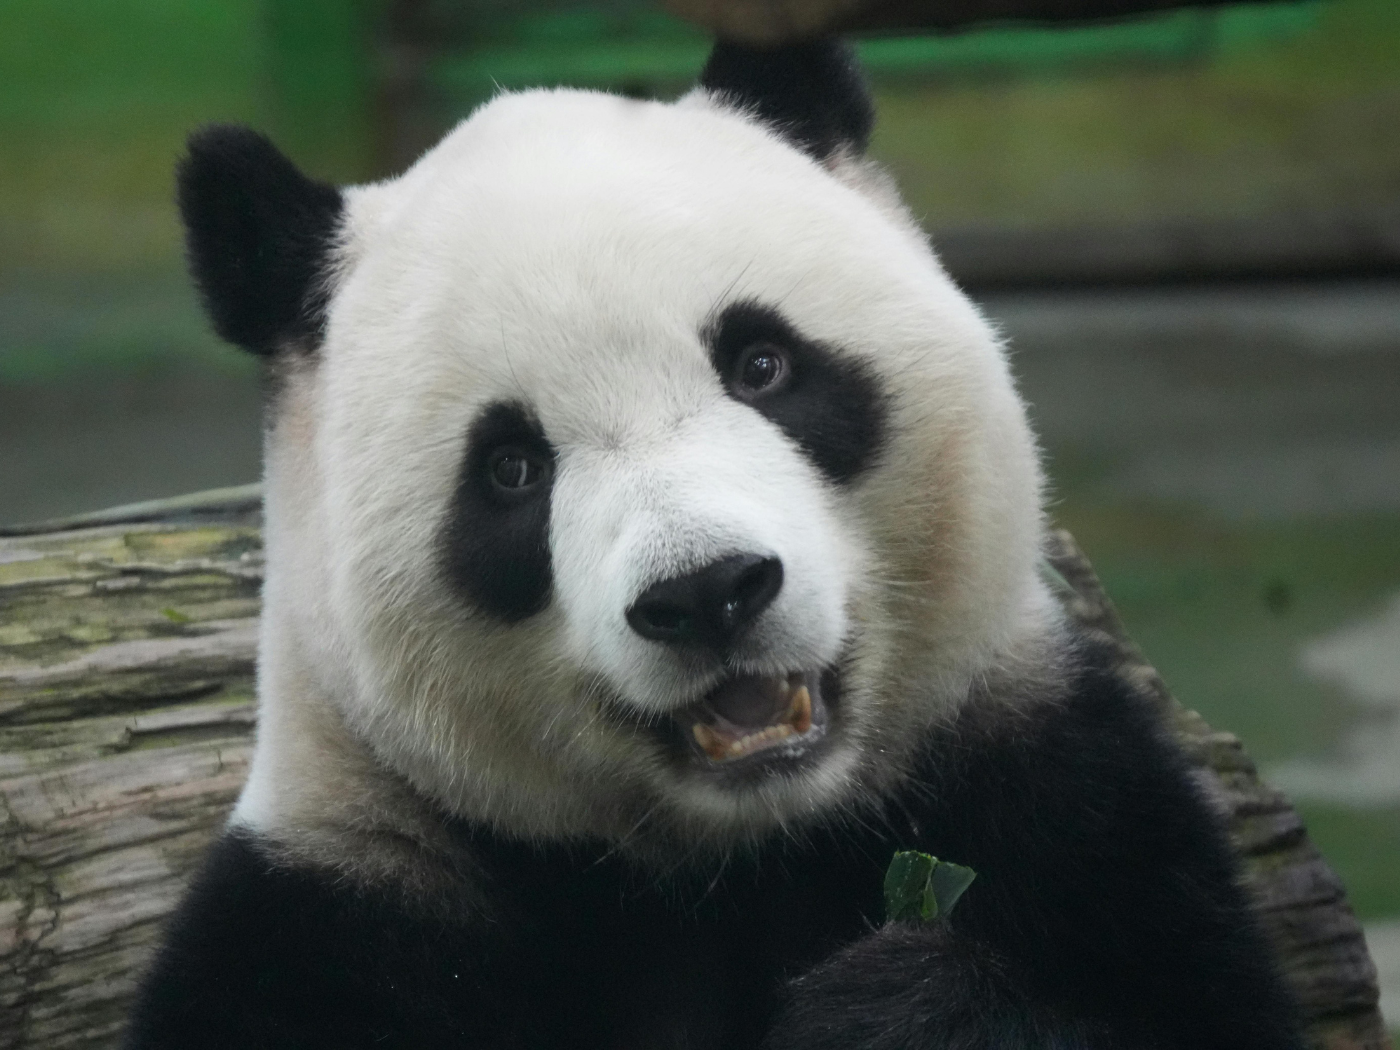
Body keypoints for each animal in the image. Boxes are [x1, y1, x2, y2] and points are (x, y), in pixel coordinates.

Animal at [125, 39, 1304, 1050]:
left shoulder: (1055, 794)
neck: (741, 853)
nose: (707, 593)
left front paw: (896, 1008)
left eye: (760, 365)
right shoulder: (349, 899)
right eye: (510, 468)